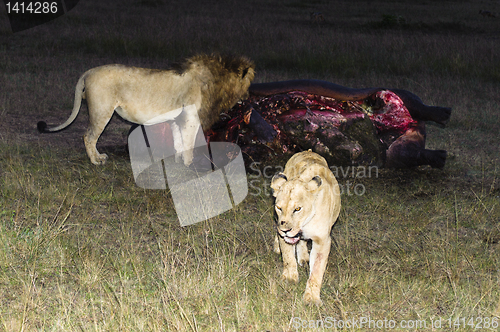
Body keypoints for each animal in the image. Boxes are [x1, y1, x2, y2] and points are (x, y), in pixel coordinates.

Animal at [39, 53, 256, 166]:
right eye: (248, 85)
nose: (247, 98)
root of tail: (88, 72)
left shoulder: (178, 118)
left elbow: (178, 142)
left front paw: (178, 161)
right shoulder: (191, 117)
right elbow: (188, 143)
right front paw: (190, 164)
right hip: (102, 111)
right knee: (88, 136)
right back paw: (96, 160)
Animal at [272, 150, 342, 306]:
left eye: (298, 209)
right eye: (279, 208)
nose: (285, 230)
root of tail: (307, 151)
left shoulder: (322, 241)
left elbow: (316, 270)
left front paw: (311, 299)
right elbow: (288, 258)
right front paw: (289, 279)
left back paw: (304, 258)